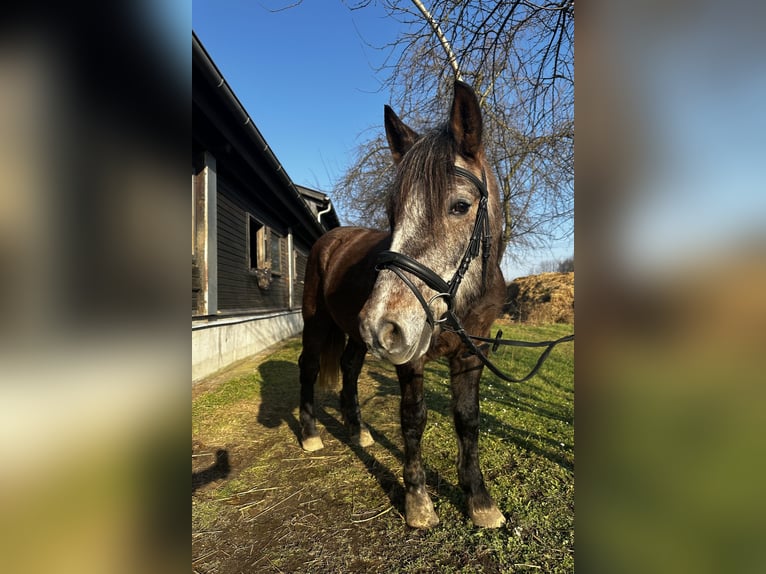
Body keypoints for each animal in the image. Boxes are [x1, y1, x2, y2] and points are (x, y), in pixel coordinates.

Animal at [300, 82, 510, 532]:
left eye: (460, 206)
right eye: (392, 212)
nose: (383, 326)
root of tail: (331, 239)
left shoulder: (472, 354)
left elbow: (468, 420)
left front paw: (479, 499)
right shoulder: (410, 356)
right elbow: (413, 418)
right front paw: (417, 500)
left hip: (355, 335)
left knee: (349, 367)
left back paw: (358, 429)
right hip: (318, 322)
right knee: (308, 366)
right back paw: (309, 434)